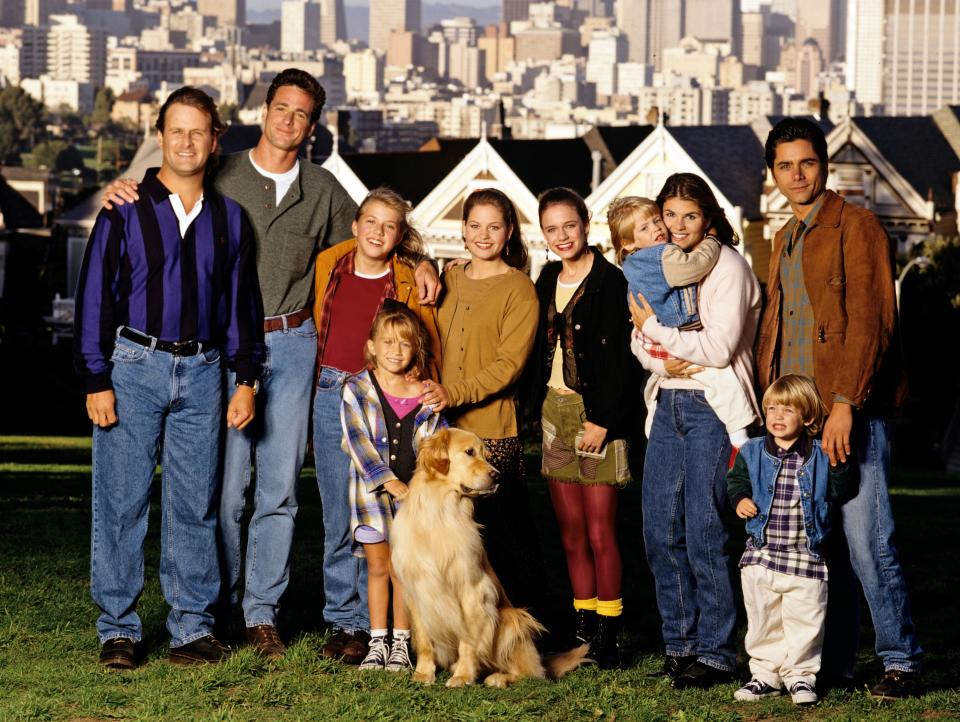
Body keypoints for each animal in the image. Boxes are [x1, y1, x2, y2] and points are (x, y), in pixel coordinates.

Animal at [388, 428, 584, 688]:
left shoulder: (473, 591)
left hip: (513, 620)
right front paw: (423, 673)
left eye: (487, 456)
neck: (440, 513)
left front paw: (463, 676)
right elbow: (423, 639)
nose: (497, 476)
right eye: (469, 452)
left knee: (531, 672)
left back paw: (497, 677)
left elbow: (468, 642)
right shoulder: (418, 589)